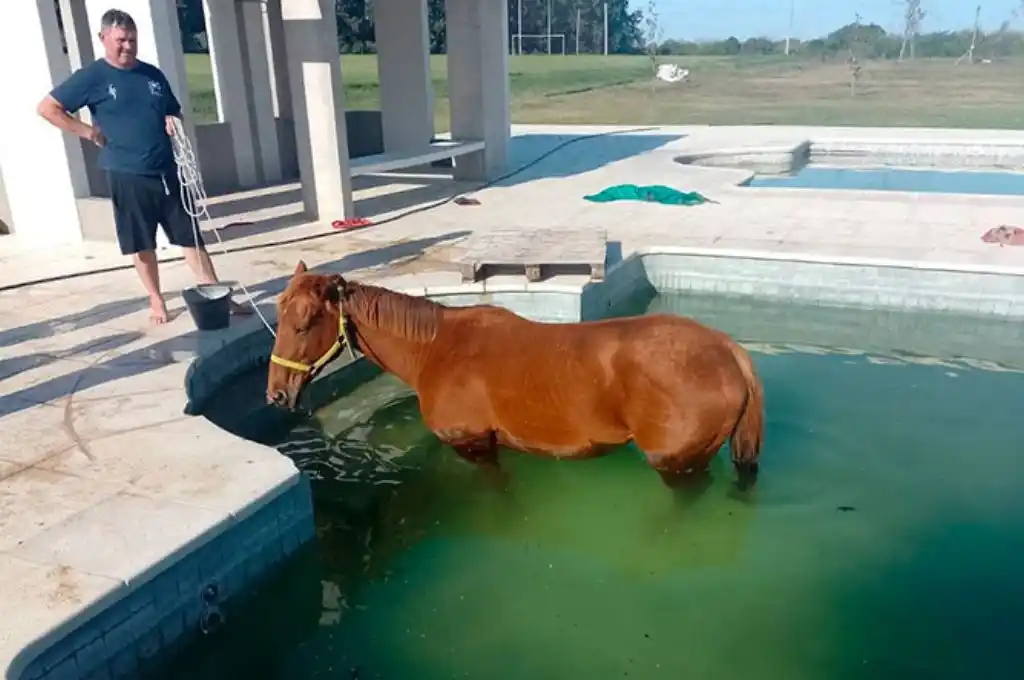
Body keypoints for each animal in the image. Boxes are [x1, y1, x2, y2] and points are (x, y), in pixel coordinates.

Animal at [266, 261, 765, 491]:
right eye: (279, 312)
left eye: (304, 323)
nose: (276, 393)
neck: (436, 350)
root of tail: (727, 349)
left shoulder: (474, 445)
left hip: (678, 463)